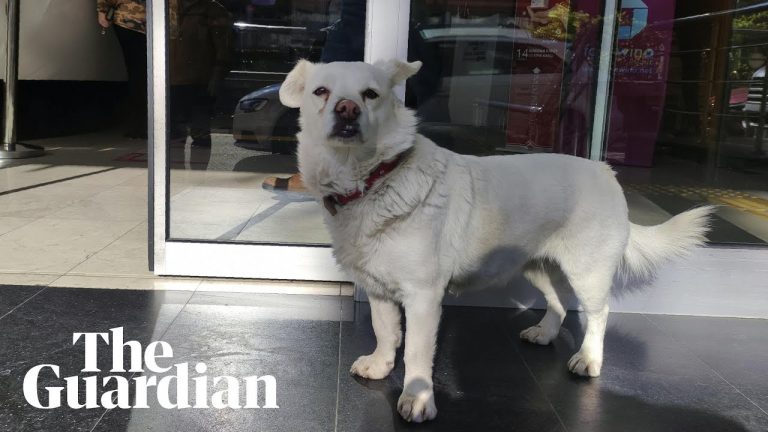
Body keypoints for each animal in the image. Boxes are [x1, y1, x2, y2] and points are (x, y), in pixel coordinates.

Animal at [278, 59, 712, 424]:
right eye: (321, 92)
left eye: (370, 94)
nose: (347, 109)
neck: (370, 179)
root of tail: (606, 171)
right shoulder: (379, 289)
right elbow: (386, 332)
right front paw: (381, 365)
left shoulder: (423, 296)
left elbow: (416, 352)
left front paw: (418, 399)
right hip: (536, 266)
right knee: (558, 302)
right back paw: (544, 333)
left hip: (587, 271)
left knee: (598, 314)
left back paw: (588, 359)